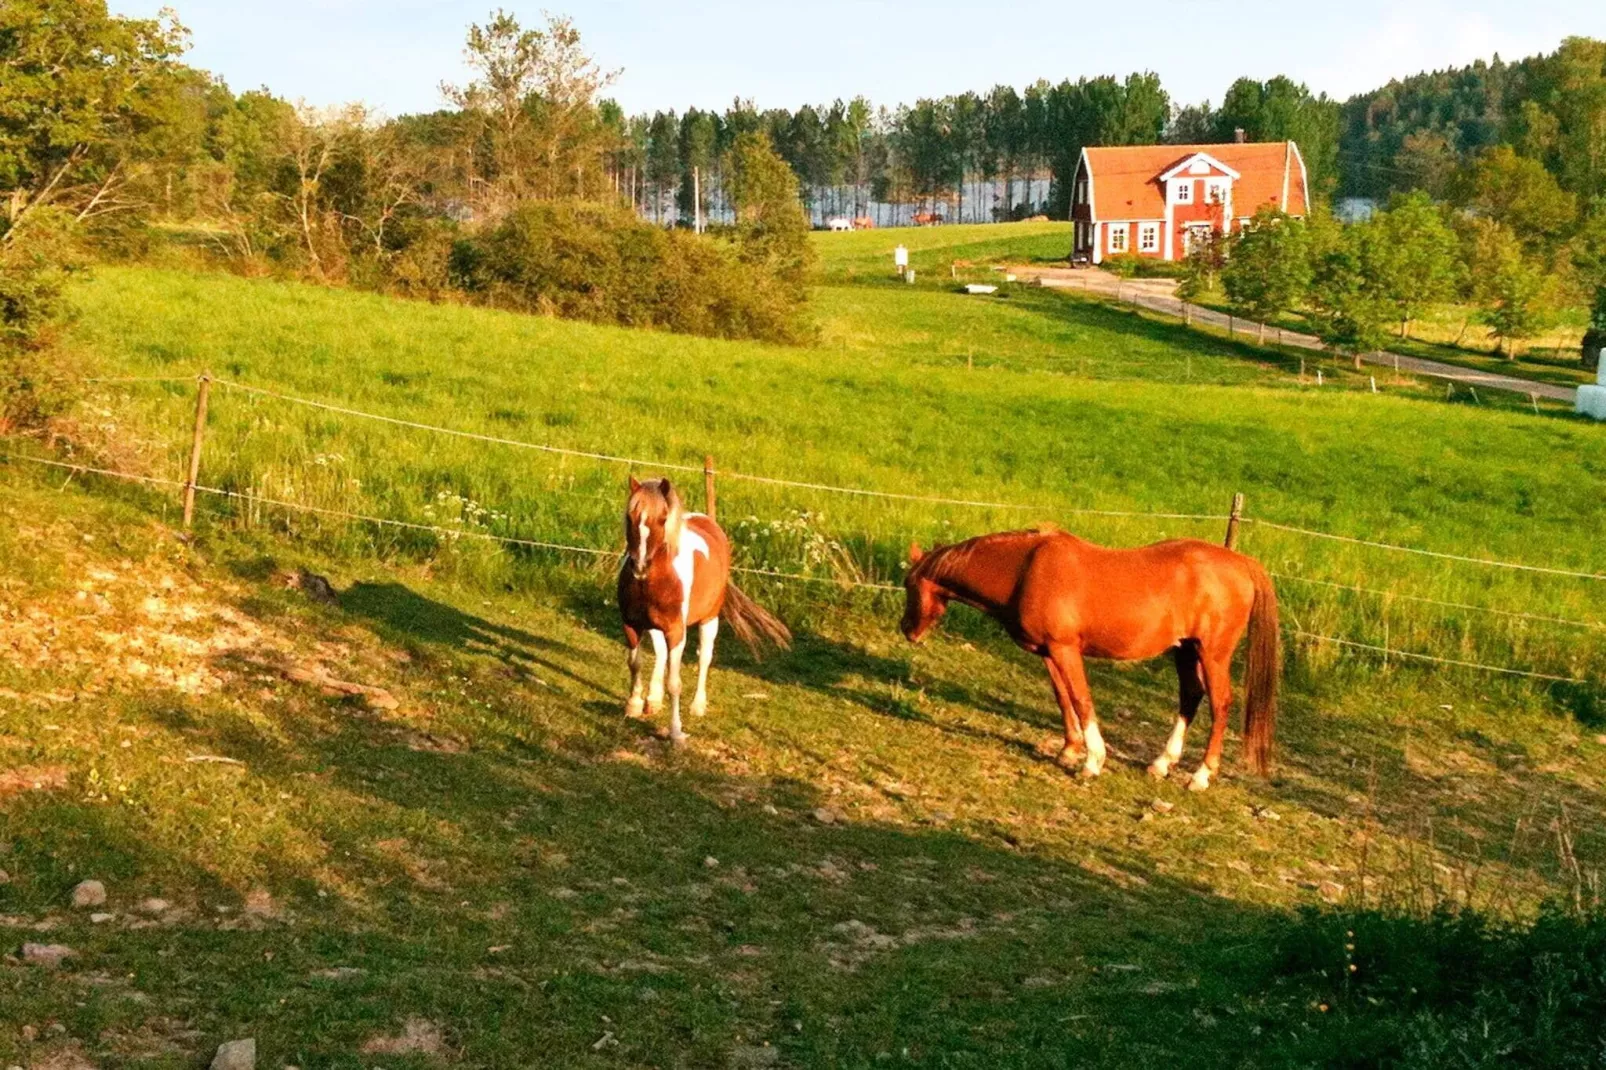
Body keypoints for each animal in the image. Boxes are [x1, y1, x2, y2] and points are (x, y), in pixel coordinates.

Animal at [613, 475, 790, 742]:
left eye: (662, 519)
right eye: (629, 517)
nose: (640, 566)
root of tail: (708, 521)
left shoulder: (677, 631)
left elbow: (674, 682)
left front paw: (676, 731)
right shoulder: (631, 624)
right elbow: (635, 663)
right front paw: (633, 705)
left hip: (709, 620)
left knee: (704, 657)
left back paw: (697, 705)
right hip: (656, 626)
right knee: (661, 653)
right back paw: (653, 700)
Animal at [905, 523, 1278, 784]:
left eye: (910, 585)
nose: (907, 629)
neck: (1025, 570)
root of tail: (1242, 562)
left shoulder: (1065, 649)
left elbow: (1082, 699)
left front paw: (1092, 761)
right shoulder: (1049, 651)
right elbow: (1063, 698)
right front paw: (1069, 751)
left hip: (1212, 654)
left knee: (1220, 703)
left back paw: (1200, 775)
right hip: (1185, 650)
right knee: (1190, 696)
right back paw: (1161, 764)